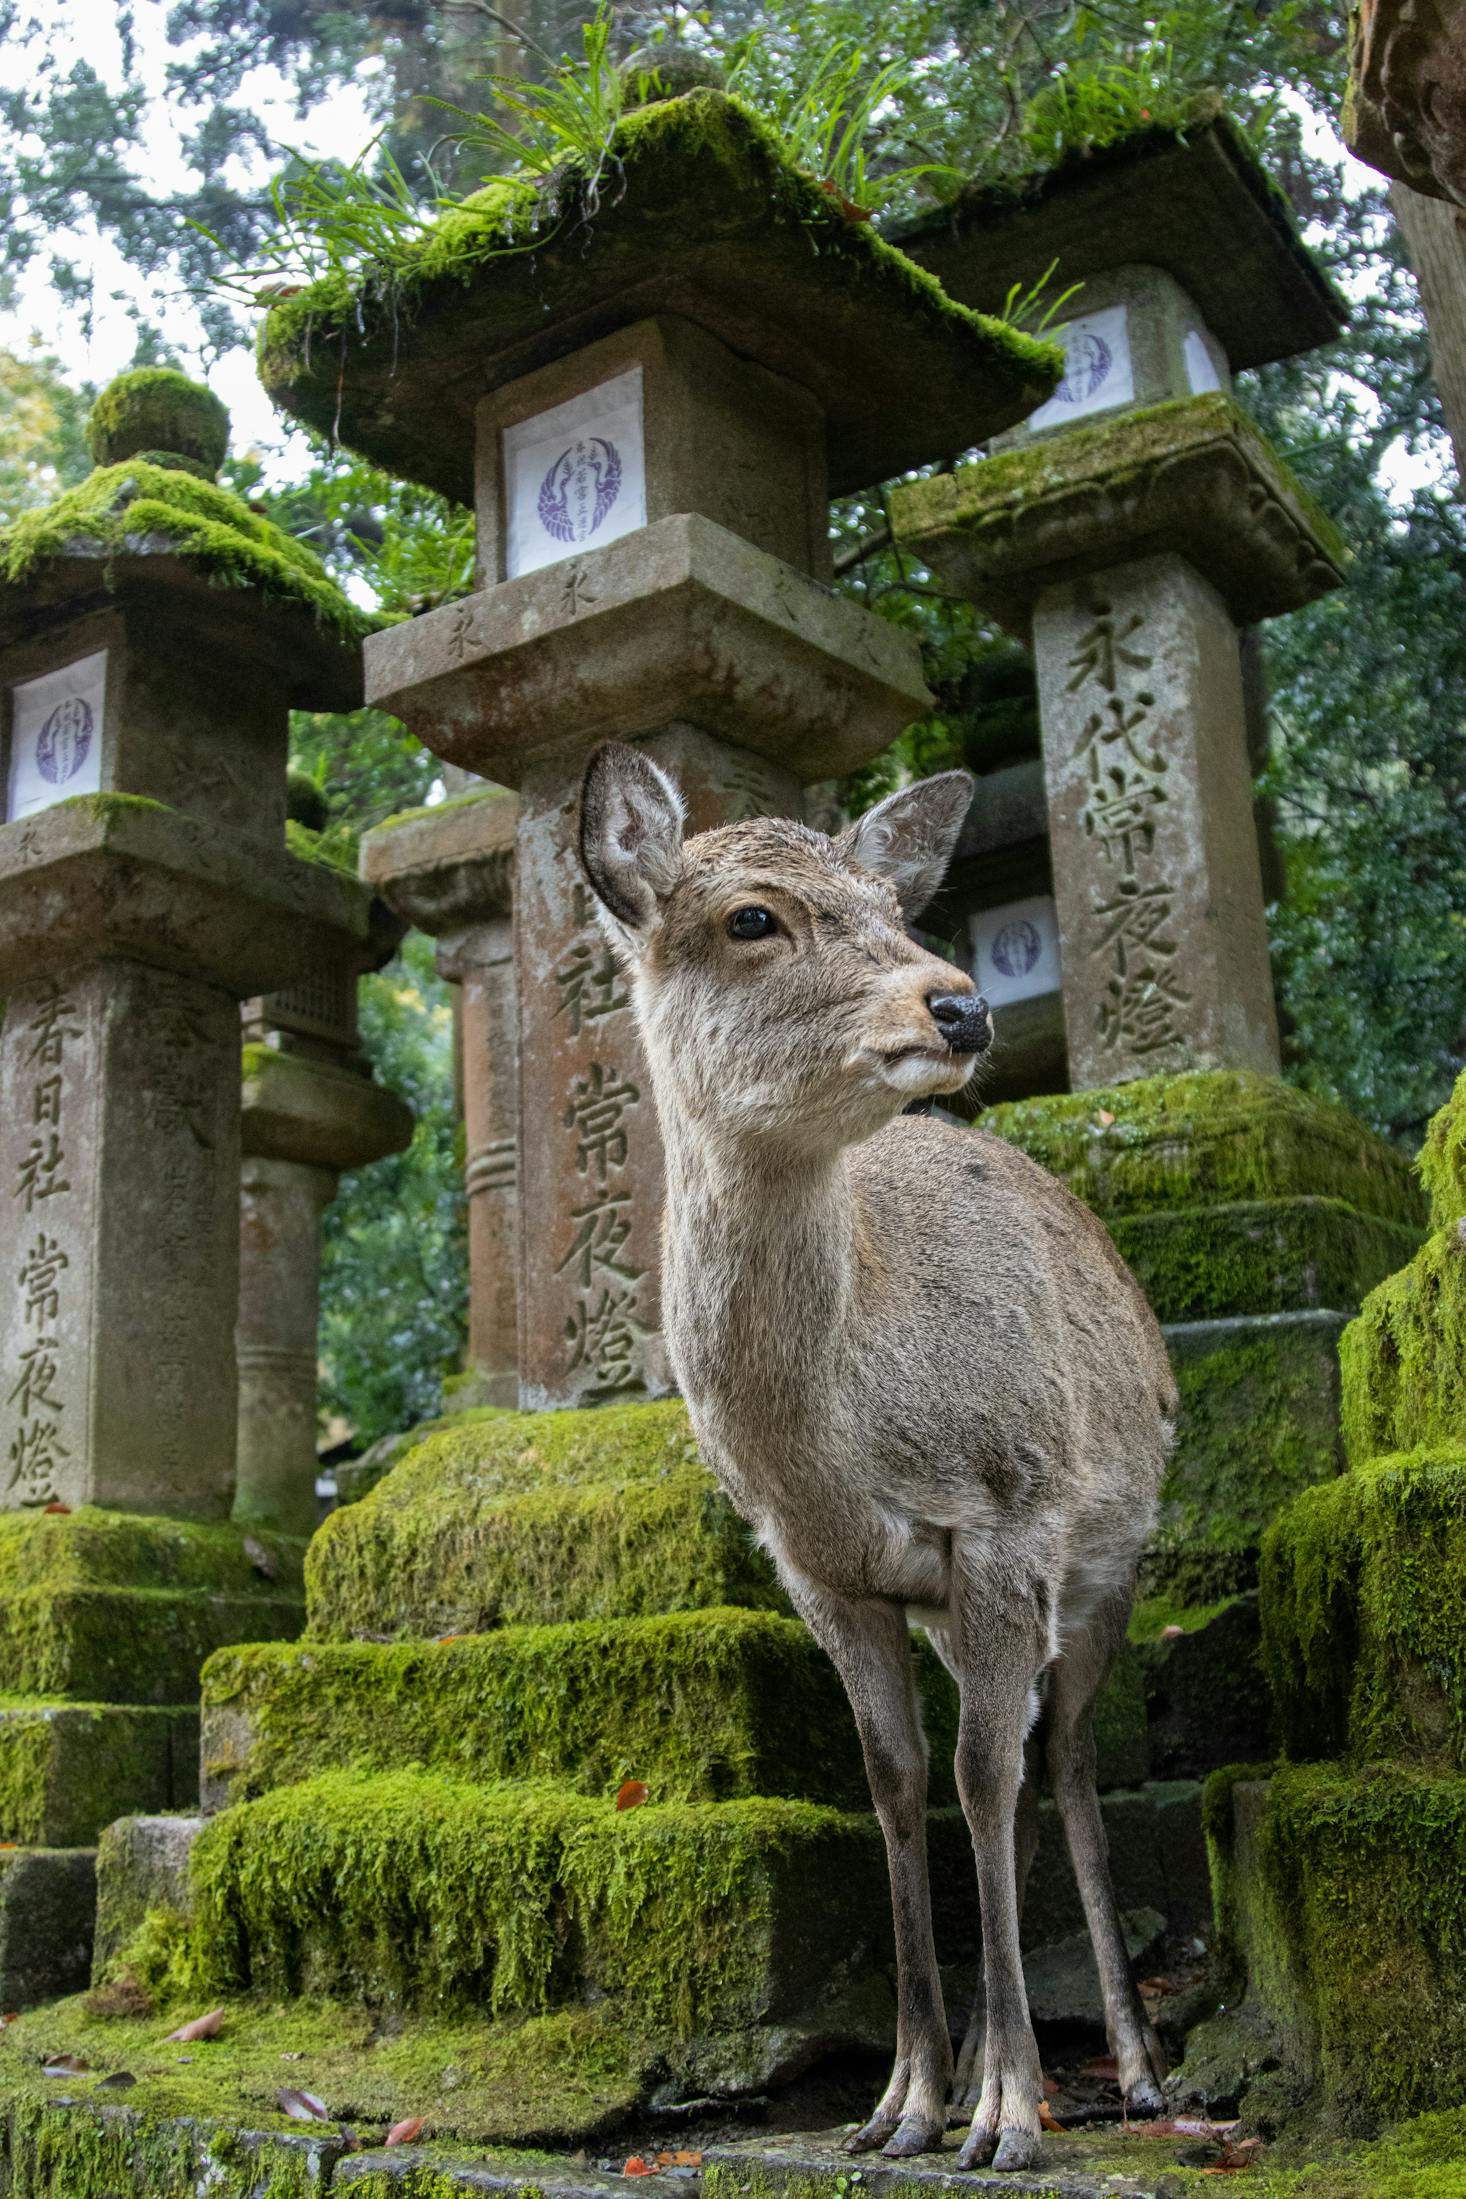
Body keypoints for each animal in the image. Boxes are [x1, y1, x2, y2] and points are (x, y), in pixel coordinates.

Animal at [580, 734, 1178, 2163]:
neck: (838, 1450)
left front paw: (1005, 2114)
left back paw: (1132, 2072)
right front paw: (902, 2100)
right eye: (750, 917)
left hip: (1105, 1569)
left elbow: (982, 1775)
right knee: (1017, 1760)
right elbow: (897, 1781)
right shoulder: (821, 1574)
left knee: (1062, 1762)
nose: (958, 1005)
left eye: (893, 907)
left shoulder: (1008, 1517)